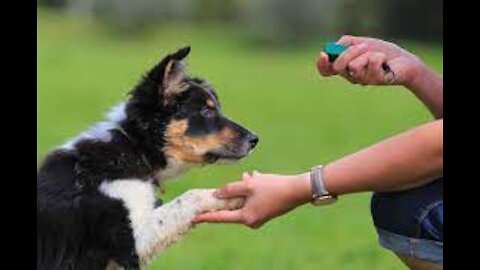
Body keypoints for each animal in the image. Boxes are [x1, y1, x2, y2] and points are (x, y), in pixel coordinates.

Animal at [36, 47, 258, 268]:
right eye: (206, 111)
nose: (255, 139)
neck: (133, 148)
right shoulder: (131, 242)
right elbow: (189, 196)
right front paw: (237, 195)